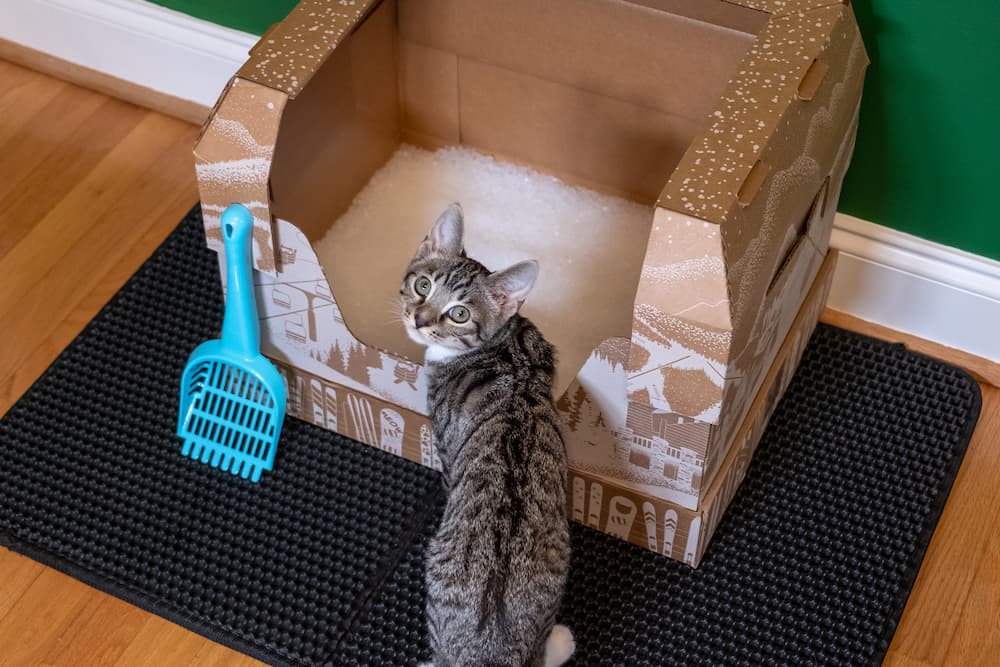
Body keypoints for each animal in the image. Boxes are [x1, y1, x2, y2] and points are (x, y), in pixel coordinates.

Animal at [398, 205, 572, 667]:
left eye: (459, 313)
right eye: (423, 285)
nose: (420, 320)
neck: (507, 348)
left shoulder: (445, 446)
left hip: (436, 562)